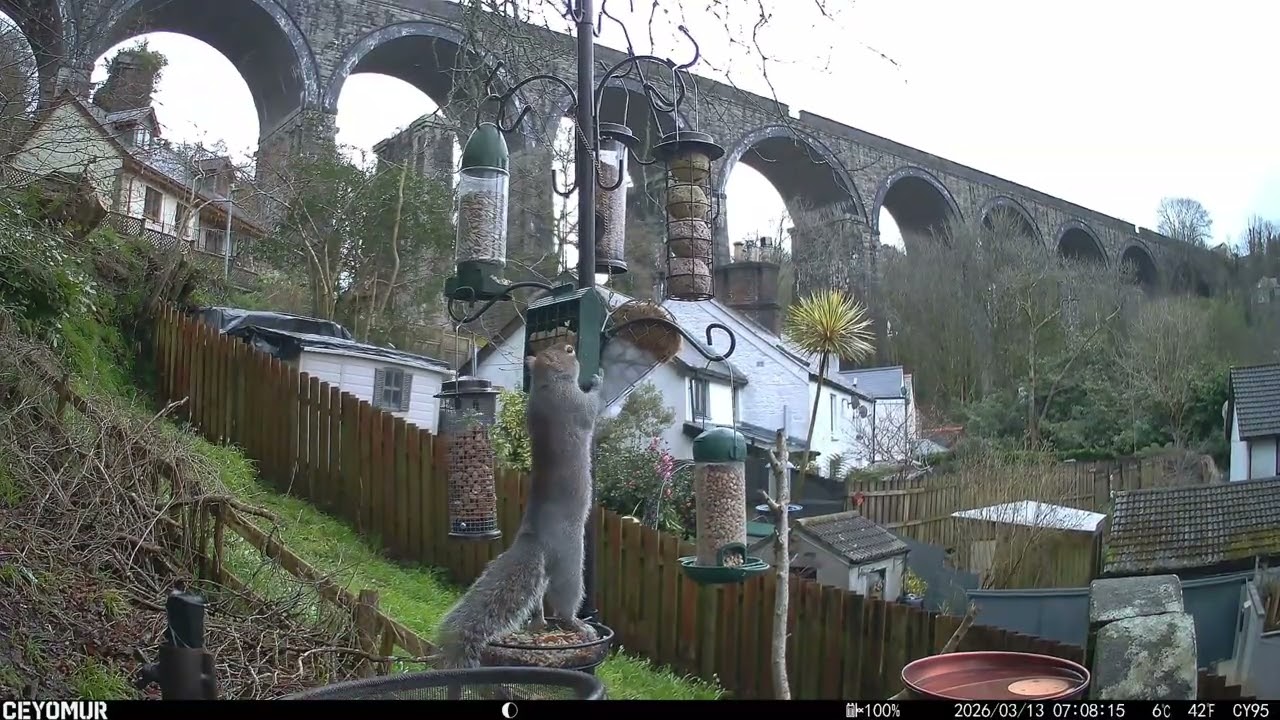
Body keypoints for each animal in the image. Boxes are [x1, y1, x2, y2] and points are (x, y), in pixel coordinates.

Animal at [435, 343, 604, 669]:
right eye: (568, 350)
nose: (572, 348)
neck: (547, 385)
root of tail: (534, 538)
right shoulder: (575, 405)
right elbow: (592, 407)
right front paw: (599, 380)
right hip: (569, 562)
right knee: (565, 600)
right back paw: (577, 624)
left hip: (544, 577)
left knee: (536, 604)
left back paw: (538, 623)